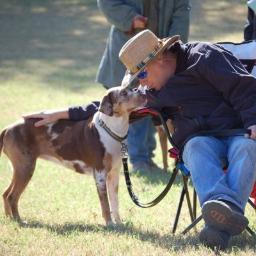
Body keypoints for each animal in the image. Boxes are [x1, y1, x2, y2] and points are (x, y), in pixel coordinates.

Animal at [0, 86, 147, 226]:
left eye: (132, 88)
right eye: (123, 93)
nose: (143, 92)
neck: (112, 129)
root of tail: (8, 128)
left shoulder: (114, 175)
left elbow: (114, 203)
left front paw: (119, 223)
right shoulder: (100, 174)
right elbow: (105, 204)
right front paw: (110, 224)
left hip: (20, 169)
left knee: (6, 194)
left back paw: (10, 219)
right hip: (26, 168)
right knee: (12, 196)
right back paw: (19, 220)